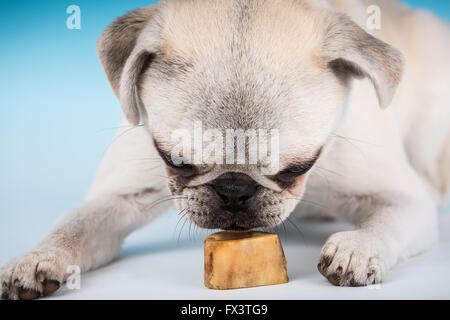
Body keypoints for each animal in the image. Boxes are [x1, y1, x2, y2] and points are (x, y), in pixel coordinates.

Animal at [0, 0, 450, 300]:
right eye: (175, 161)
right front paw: (40, 257)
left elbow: (386, 222)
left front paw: (358, 247)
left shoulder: (403, 200)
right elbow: (75, 225)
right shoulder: (119, 196)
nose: (234, 190)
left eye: (296, 169)